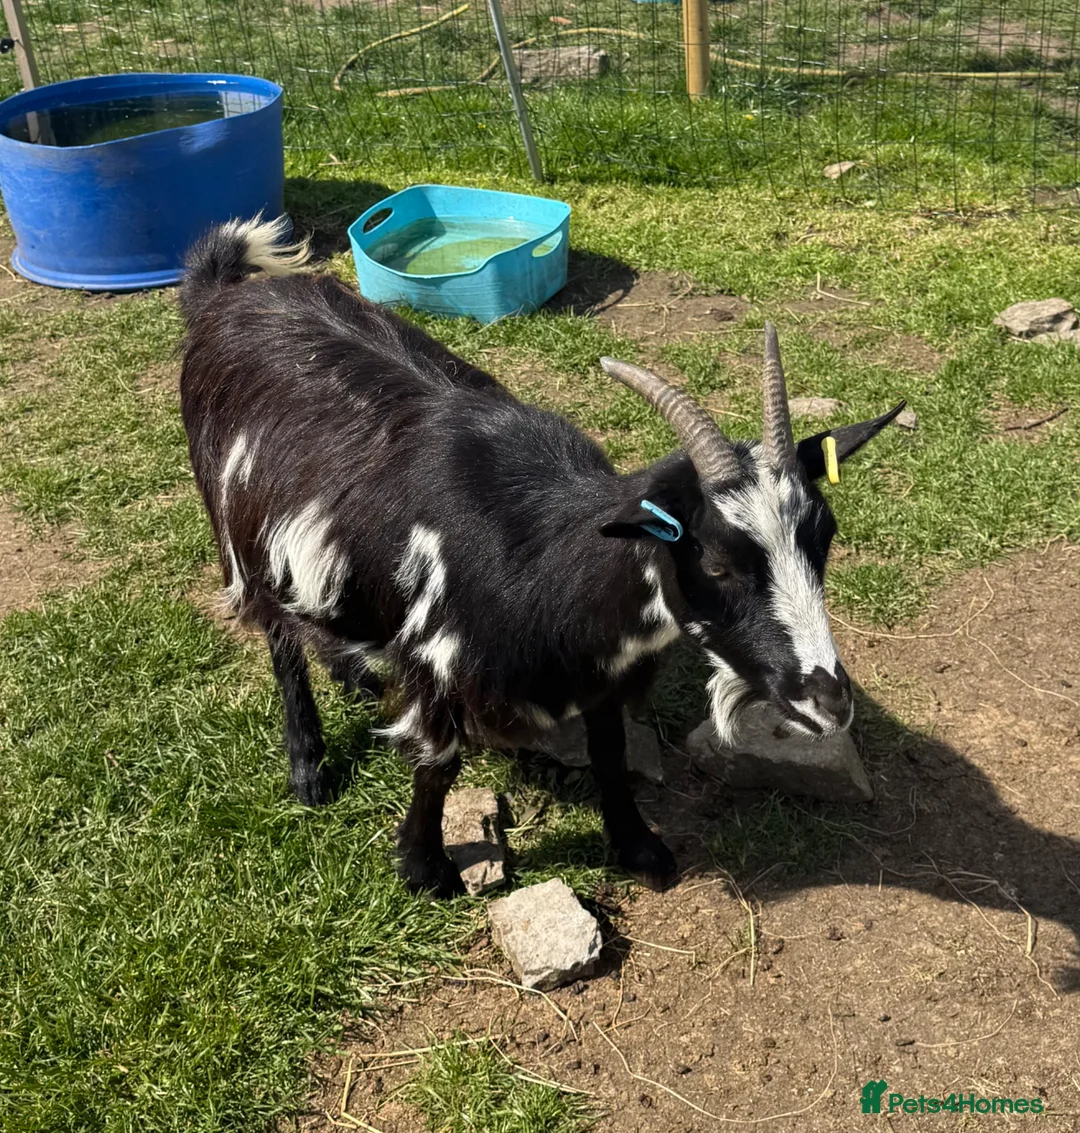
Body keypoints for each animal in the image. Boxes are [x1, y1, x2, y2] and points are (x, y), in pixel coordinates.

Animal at [178, 216, 904, 897]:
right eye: (718, 563)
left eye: (823, 539)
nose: (830, 701)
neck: (542, 558)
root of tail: (225, 296)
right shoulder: (439, 656)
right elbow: (438, 764)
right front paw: (425, 869)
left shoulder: (602, 669)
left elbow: (610, 751)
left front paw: (638, 847)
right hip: (234, 527)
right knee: (277, 635)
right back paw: (308, 768)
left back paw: (354, 675)